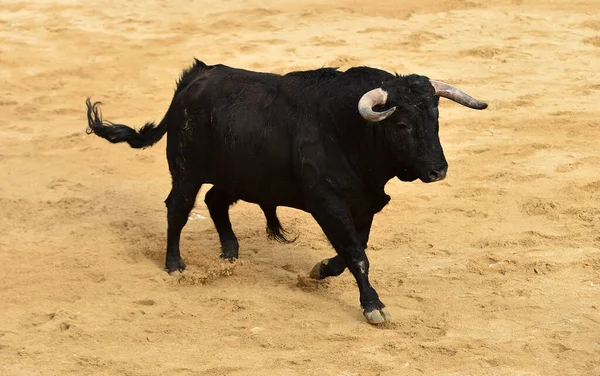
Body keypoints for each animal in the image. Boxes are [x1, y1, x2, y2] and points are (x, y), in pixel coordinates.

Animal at [84, 60, 488, 324]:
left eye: (435, 118)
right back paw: (174, 265)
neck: (349, 130)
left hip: (239, 176)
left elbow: (352, 251)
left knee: (214, 201)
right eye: (402, 124)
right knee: (178, 208)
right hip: (186, 172)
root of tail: (195, 77)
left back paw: (230, 254)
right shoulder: (327, 204)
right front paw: (373, 306)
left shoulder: (366, 205)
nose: (438, 171)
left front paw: (320, 270)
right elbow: (357, 255)